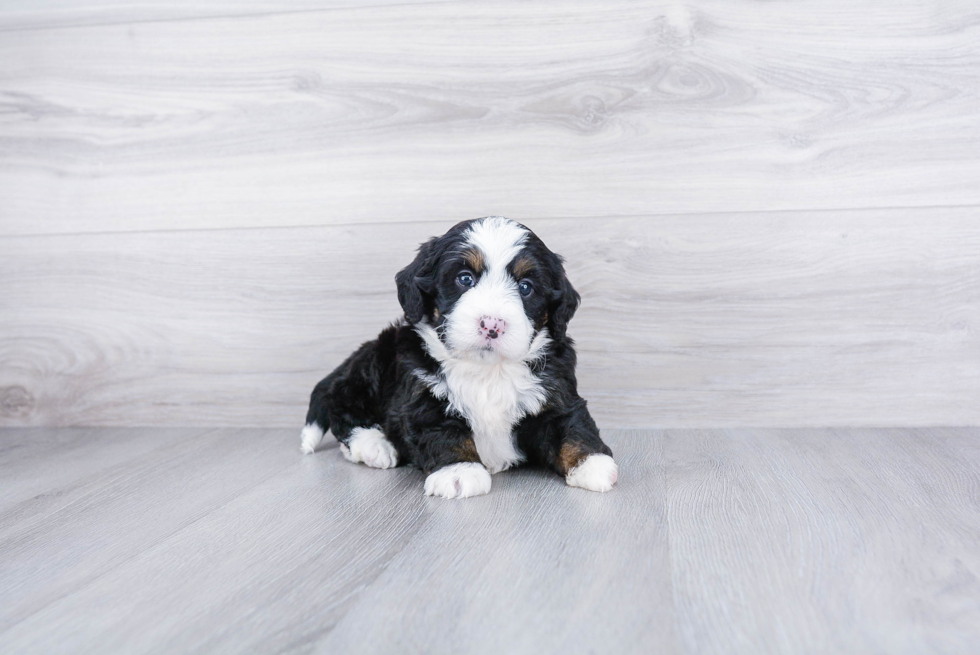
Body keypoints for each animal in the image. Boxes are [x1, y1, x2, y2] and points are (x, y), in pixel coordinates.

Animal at [302, 215, 616, 498]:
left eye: (526, 286)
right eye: (465, 278)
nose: (492, 324)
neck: (488, 370)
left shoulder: (556, 390)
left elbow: (571, 427)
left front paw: (592, 463)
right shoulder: (421, 394)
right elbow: (443, 432)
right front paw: (459, 471)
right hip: (375, 365)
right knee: (342, 406)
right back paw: (375, 445)